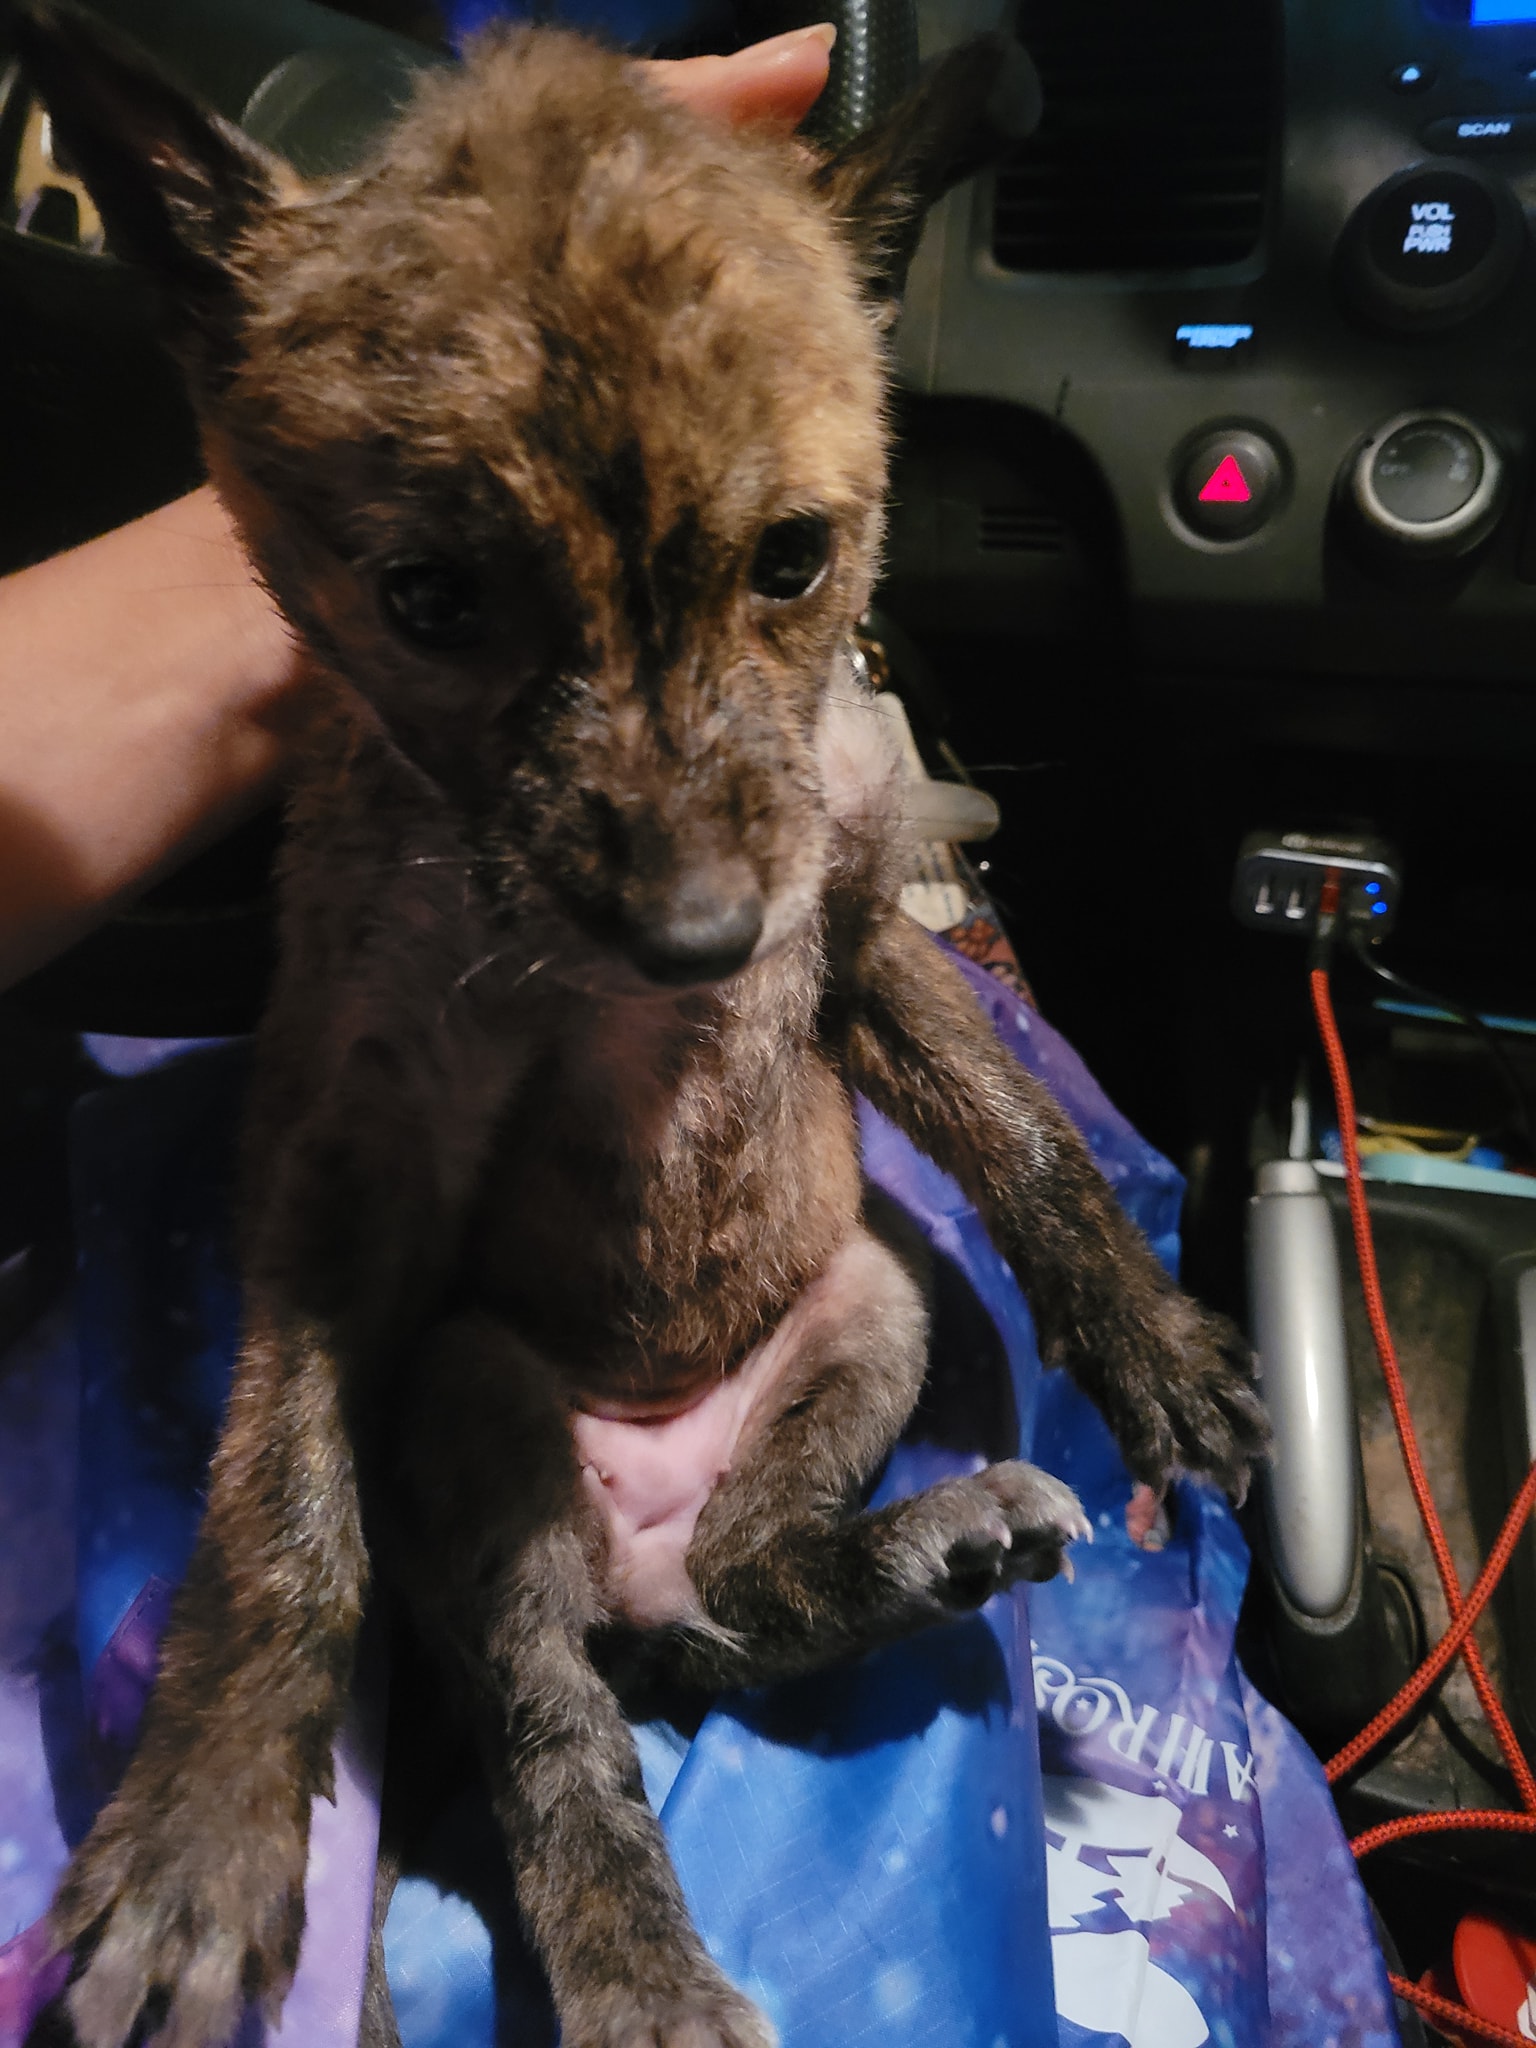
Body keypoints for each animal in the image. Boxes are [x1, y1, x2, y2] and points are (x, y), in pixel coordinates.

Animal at [17, 9, 1267, 2046]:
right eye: (426, 597)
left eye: (795, 559)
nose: (699, 939)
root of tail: (636, 1545)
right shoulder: (361, 1132)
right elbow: (283, 1494)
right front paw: (205, 1816)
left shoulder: (853, 934)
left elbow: (1025, 1138)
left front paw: (1150, 1343)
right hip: (473, 1411)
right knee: (560, 1732)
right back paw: (643, 1971)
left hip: (869, 1308)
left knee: (748, 1597)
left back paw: (913, 1546)